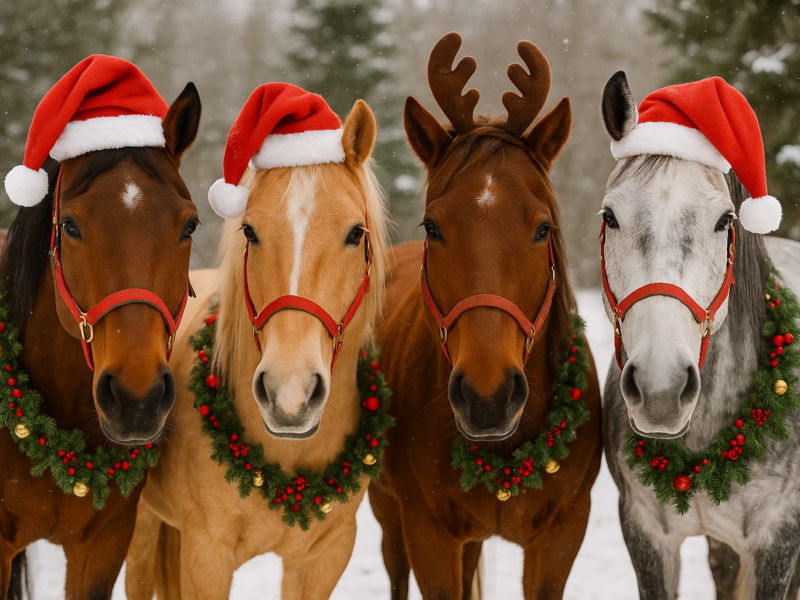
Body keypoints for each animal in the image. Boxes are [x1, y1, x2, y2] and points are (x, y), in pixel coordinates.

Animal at [367, 32, 603, 599]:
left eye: (543, 229)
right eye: (432, 226)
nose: (487, 397)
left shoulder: (562, 534)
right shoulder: (426, 531)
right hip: (387, 513)